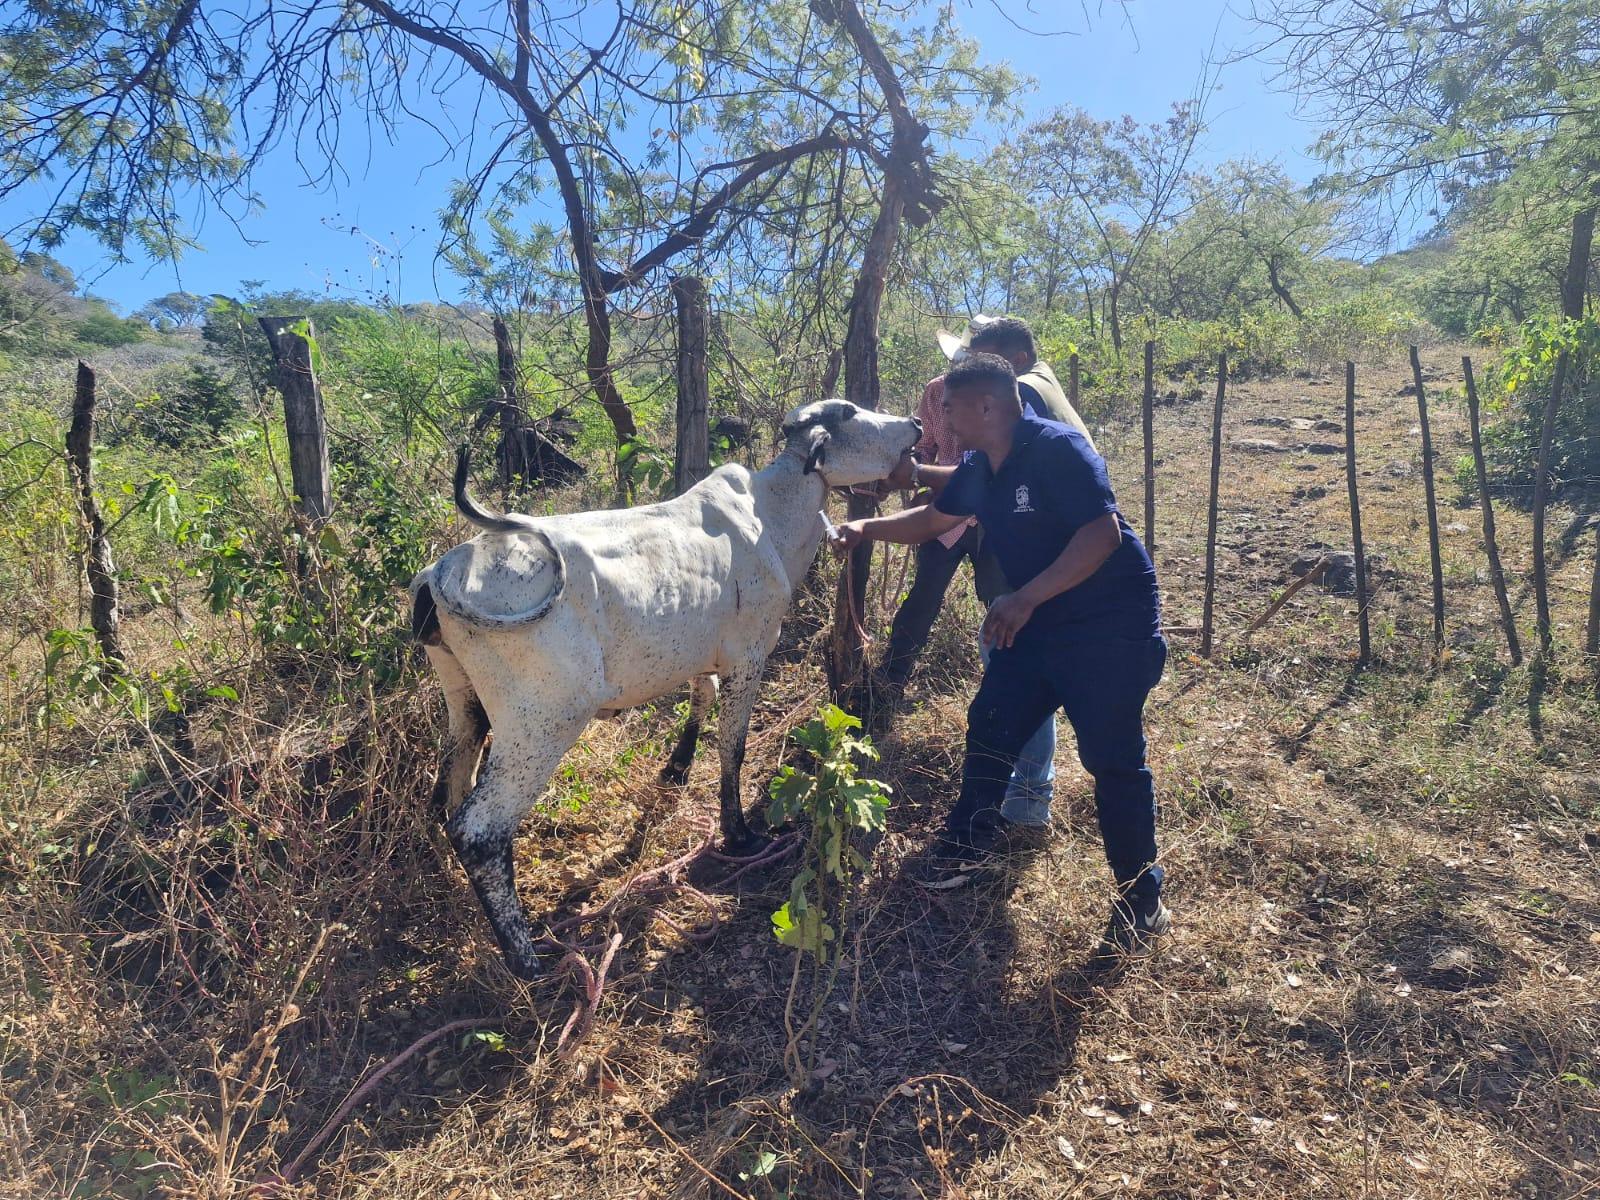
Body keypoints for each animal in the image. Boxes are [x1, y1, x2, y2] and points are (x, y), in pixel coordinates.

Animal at [410, 400, 921, 978]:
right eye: (851, 413)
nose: (916, 426)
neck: (770, 516)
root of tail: (442, 571)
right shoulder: (749, 655)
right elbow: (733, 747)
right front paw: (738, 832)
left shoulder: (706, 652)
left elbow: (701, 696)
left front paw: (676, 766)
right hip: (542, 724)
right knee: (478, 830)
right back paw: (525, 954)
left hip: (465, 701)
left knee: (449, 786)